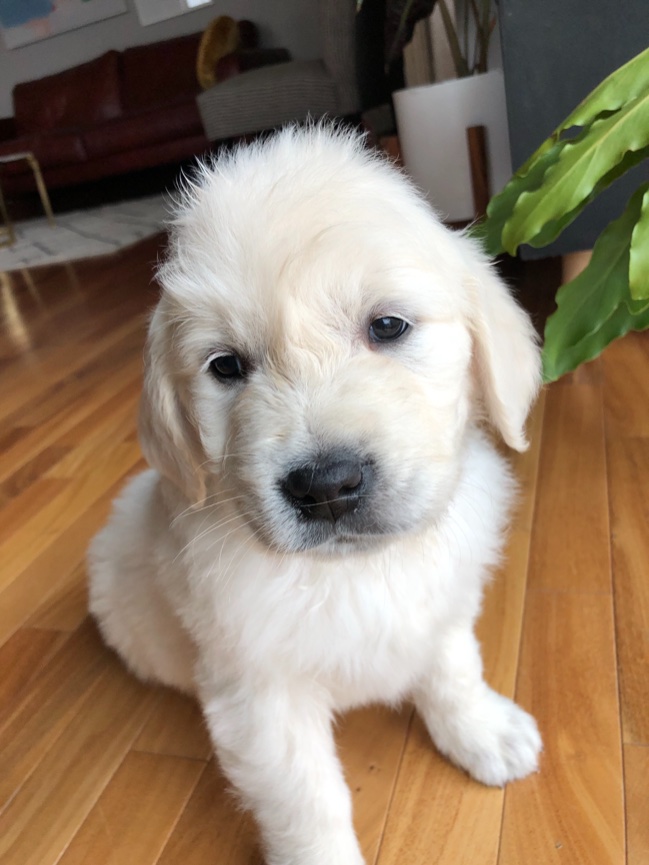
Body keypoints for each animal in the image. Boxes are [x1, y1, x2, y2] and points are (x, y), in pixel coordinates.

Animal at [87, 123, 540, 864]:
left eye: (387, 326)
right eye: (226, 366)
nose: (326, 487)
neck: (353, 571)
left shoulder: (439, 603)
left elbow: (452, 670)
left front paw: (481, 730)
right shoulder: (261, 693)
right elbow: (307, 801)